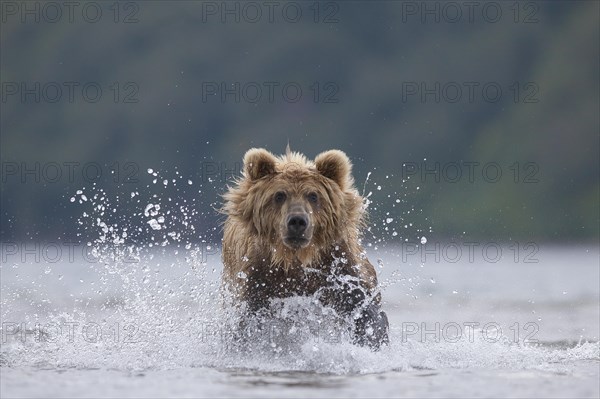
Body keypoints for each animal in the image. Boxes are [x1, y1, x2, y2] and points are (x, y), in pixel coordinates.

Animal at [220, 147, 390, 350]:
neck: (295, 258)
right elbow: (247, 317)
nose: (297, 221)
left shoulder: (339, 266)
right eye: (279, 195)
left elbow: (363, 307)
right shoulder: (257, 274)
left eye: (313, 195)